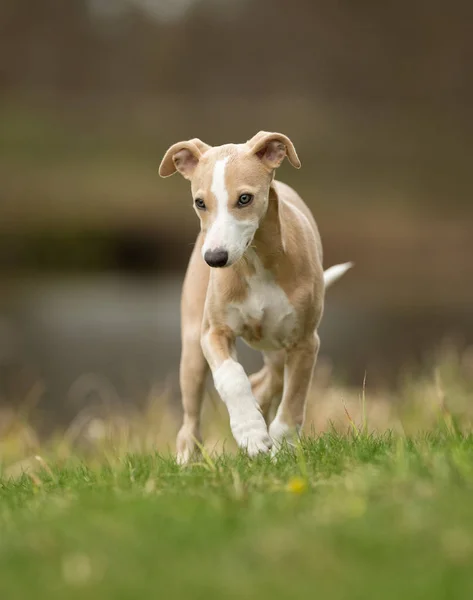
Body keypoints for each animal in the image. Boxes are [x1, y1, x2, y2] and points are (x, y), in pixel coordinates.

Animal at [159, 131, 350, 462]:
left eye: (245, 198)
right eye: (200, 202)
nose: (214, 258)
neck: (255, 263)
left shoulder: (305, 343)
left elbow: (293, 402)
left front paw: (282, 448)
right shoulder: (213, 332)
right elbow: (232, 376)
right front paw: (250, 432)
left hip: (278, 348)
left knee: (268, 381)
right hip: (193, 349)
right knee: (191, 420)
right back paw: (187, 459)